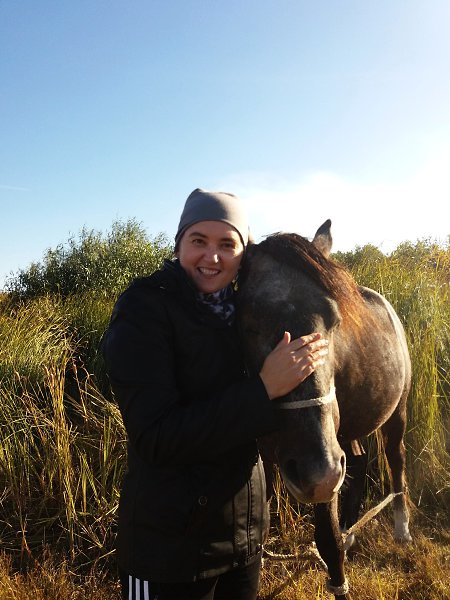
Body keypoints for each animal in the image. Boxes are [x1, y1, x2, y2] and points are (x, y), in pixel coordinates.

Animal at [236, 220, 412, 599]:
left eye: (333, 320)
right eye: (247, 322)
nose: (317, 472)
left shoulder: (326, 468)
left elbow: (328, 540)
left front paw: (339, 581)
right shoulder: (269, 453)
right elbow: (262, 516)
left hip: (395, 415)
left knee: (396, 460)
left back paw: (401, 527)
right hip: (346, 434)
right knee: (358, 462)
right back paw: (351, 528)